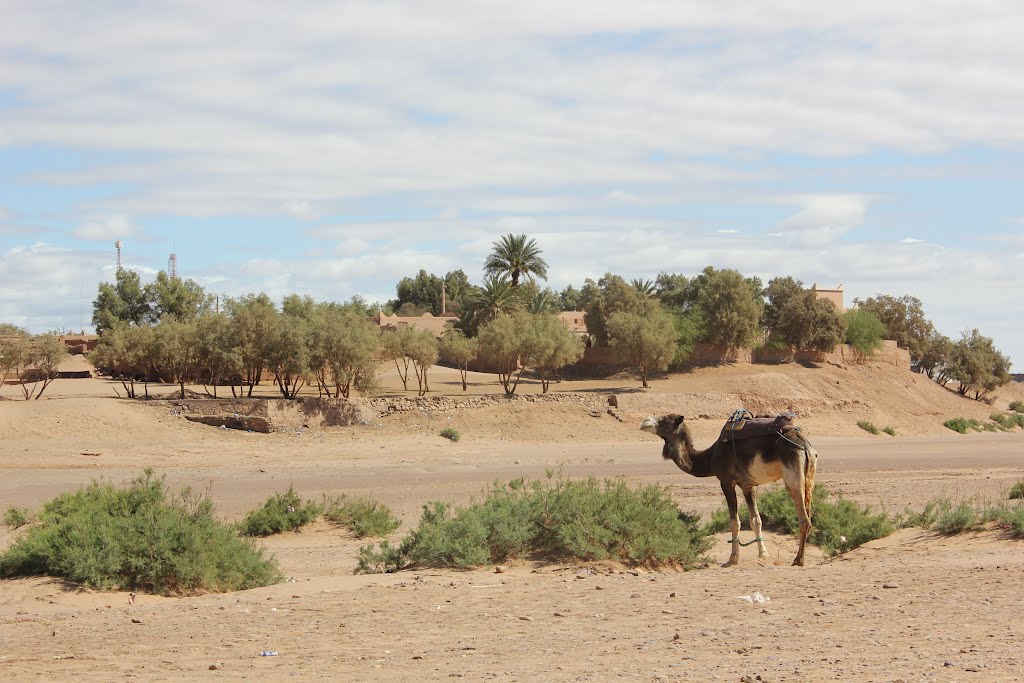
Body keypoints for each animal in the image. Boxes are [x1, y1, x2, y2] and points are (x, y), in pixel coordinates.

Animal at [638, 413, 815, 569]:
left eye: (666, 420)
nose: (645, 422)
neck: (710, 458)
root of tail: (805, 446)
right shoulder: (747, 485)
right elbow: (755, 520)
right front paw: (763, 554)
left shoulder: (726, 482)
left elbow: (735, 522)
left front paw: (733, 558)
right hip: (809, 478)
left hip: (792, 478)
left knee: (804, 518)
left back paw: (798, 560)